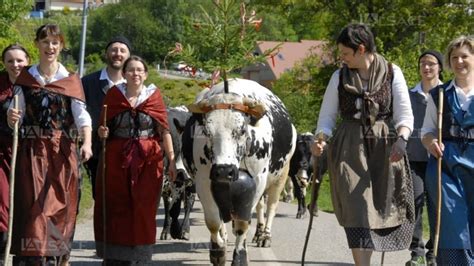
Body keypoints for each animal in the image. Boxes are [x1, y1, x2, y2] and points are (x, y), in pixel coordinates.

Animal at [182, 79, 296, 266]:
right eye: (206, 131)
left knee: (271, 206)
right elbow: (213, 221)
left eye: (242, 130)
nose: (224, 171)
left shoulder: (258, 180)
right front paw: (218, 251)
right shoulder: (203, 181)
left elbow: (244, 224)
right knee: (256, 207)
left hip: (280, 176)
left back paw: (265, 236)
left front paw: (240, 258)